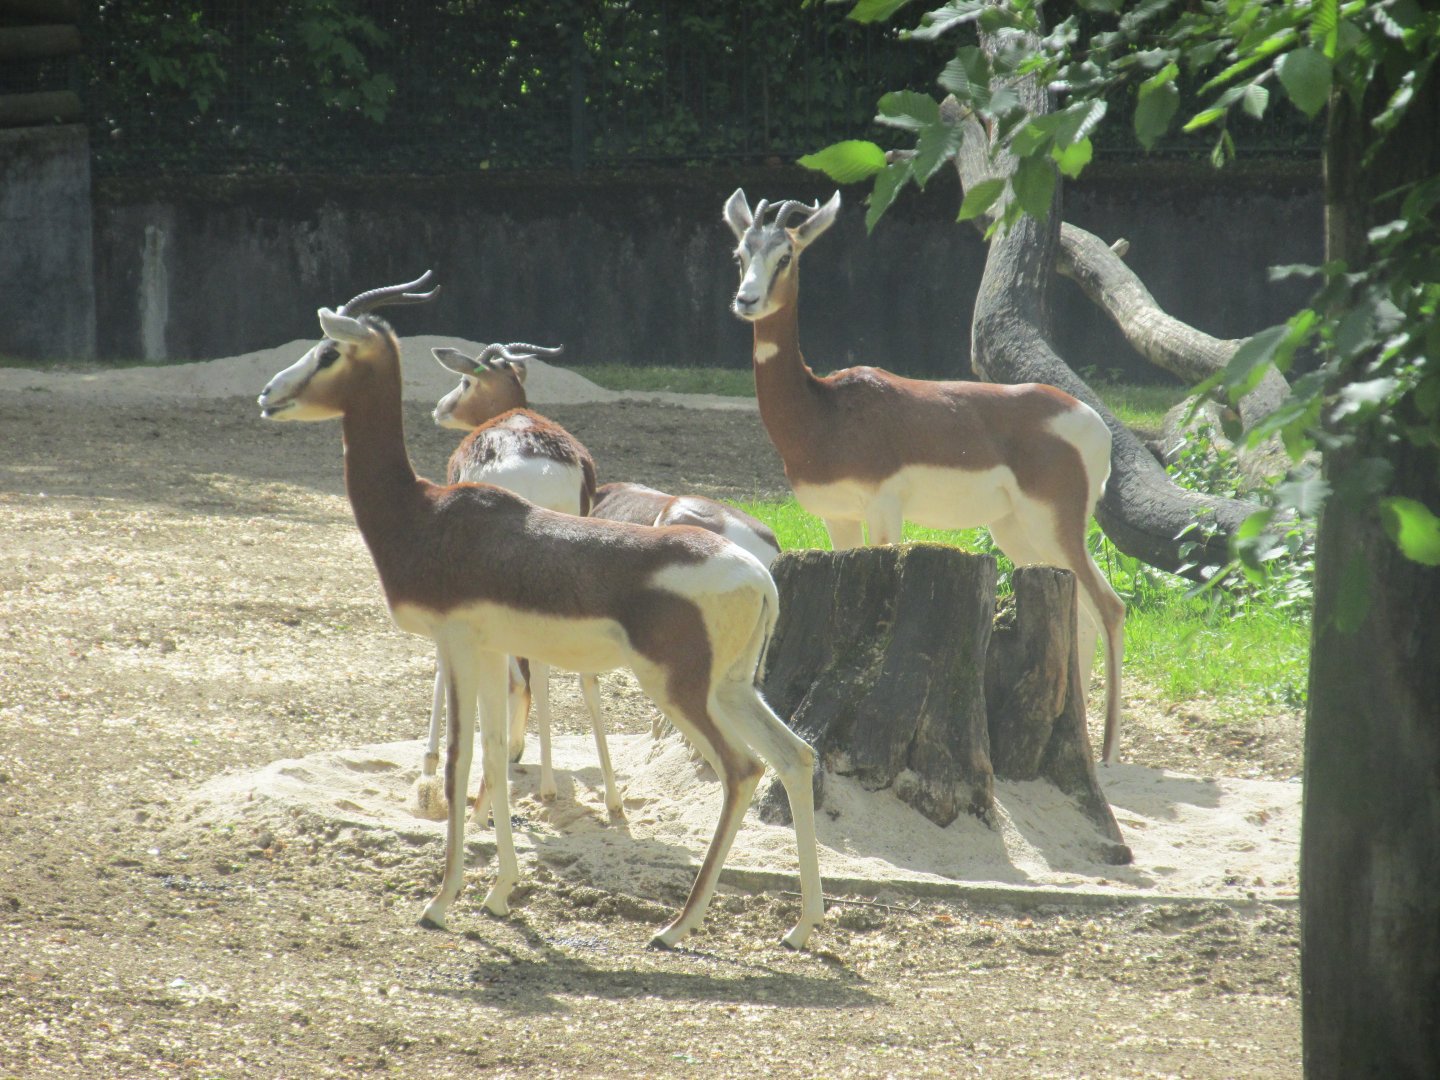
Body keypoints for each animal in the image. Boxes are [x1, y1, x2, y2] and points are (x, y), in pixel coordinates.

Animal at [724, 190, 1127, 763]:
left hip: (1054, 524)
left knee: (1110, 607)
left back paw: (1108, 753)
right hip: (1016, 531)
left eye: (786, 255)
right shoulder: (837, 517)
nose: (747, 300)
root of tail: (1093, 423)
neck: (824, 411)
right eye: (741, 253)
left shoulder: (883, 509)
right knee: (1082, 611)